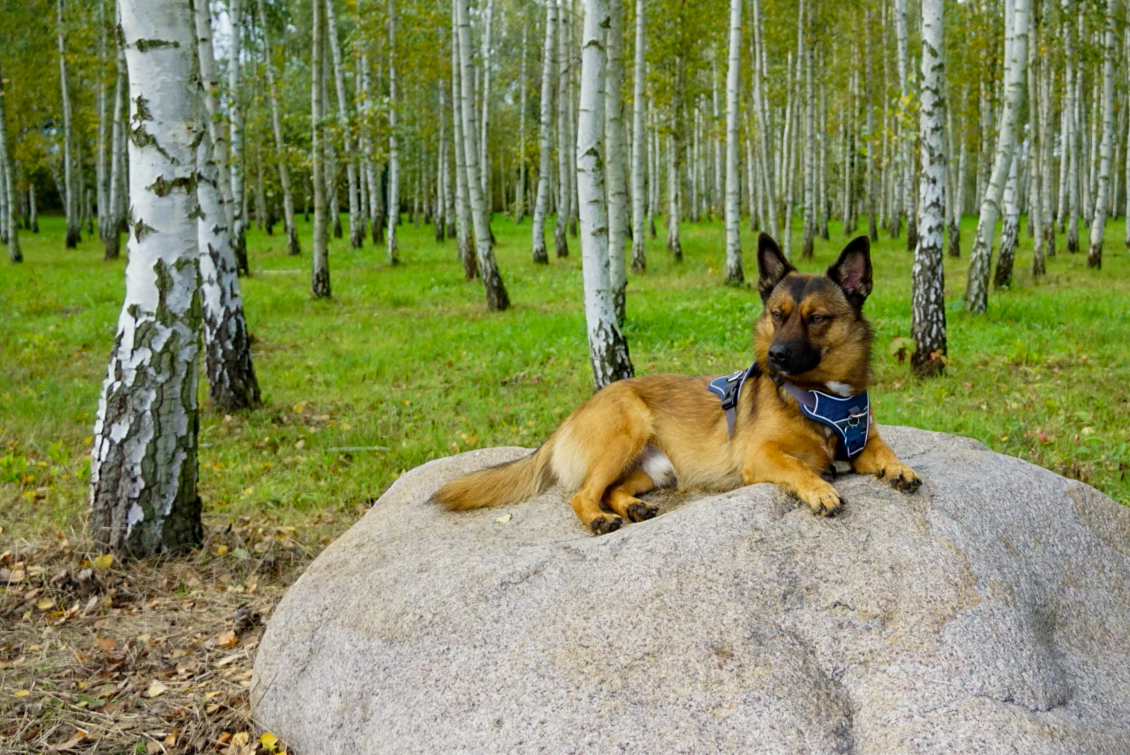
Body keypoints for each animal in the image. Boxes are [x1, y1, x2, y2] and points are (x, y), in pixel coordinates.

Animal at [431, 232, 917, 533]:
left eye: (817, 319)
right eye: (777, 315)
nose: (775, 356)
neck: (819, 395)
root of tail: (572, 415)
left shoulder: (862, 442)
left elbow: (884, 450)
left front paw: (899, 468)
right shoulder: (759, 456)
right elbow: (798, 466)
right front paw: (820, 490)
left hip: (649, 471)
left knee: (613, 489)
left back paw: (633, 508)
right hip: (626, 430)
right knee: (584, 494)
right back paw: (599, 519)